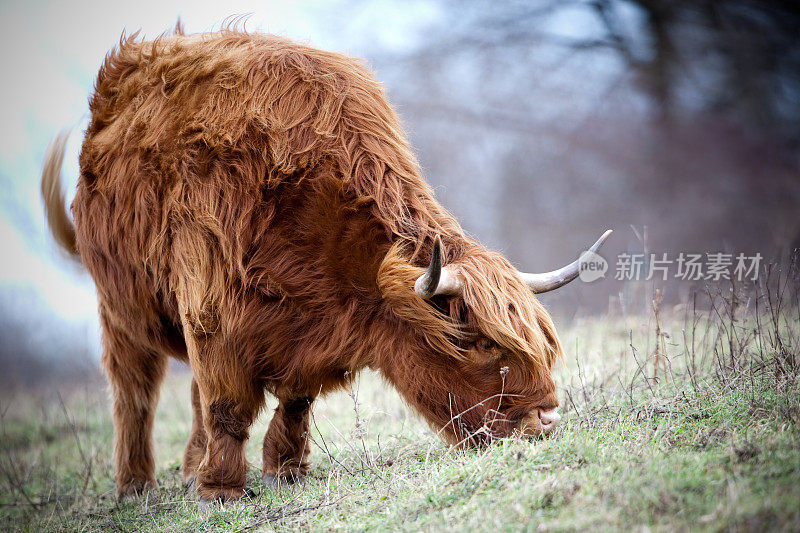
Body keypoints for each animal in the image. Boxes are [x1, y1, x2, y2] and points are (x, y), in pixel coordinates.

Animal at [40, 28, 608, 502]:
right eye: (483, 345)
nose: (547, 419)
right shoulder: (212, 307)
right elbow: (228, 407)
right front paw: (221, 491)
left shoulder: (306, 326)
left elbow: (293, 400)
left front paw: (284, 469)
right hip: (120, 308)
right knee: (134, 392)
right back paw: (136, 486)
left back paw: (187, 469)